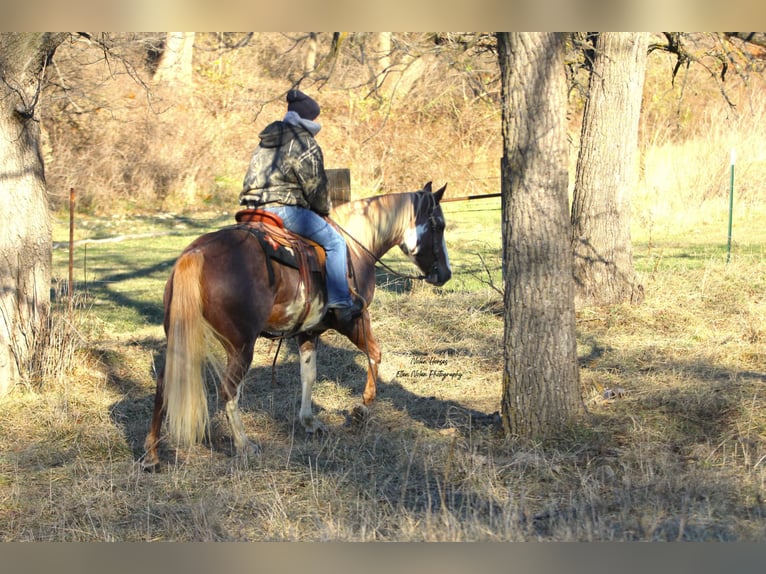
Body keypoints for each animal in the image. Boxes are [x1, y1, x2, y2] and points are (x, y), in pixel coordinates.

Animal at [142, 182, 450, 470]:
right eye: (439, 224)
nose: (446, 274)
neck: (355, 247)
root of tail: (195, 253)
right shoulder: (355, 319)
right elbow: (375, 353)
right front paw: (362, 409)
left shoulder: (308, 331)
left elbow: (308, 375)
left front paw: (309, 421)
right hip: (240, 347)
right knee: (229, 391)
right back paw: (244, 445)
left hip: (180, 337)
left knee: (164, 384)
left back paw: (152, 455)